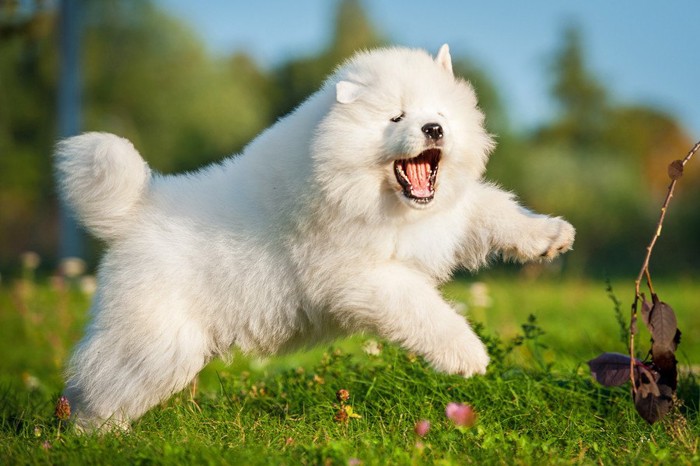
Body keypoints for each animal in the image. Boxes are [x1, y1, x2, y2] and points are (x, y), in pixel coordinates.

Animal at [54, 44, 576, 430]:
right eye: (395, 117)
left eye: (440, 112)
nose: (434, 129)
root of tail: (135, 211)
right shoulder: (362, 277)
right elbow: (424, 310)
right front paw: (467, 354)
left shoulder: (448, 220)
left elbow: (494, 211)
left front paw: (550, 235)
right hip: (159, 343)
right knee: (100, 388)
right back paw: (95, 437)